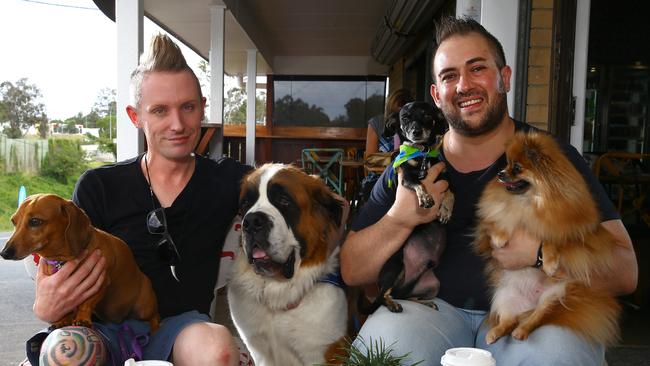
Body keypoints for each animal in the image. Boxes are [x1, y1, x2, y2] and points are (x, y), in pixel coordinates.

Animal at [228, 164, 350, 366]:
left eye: (284, 201)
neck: (277, 291)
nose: (251, 221)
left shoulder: (323, 350)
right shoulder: (258, 351)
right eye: (245, 204)